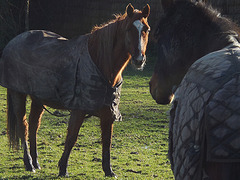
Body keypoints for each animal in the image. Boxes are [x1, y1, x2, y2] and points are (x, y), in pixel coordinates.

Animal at [0, 2, 150, 177]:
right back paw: (29, 163)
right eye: (128, 29)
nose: (139, 60)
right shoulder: (79, 109)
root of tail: (13, 41)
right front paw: (63, 169)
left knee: (33, 126)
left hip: (38, 99)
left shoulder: (108, 113)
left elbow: (107, 140)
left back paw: (36, 162)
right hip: (18, 94)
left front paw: (108, 170)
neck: (101, 63)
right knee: (23, 126)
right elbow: (72, 137)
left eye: (146, 29)